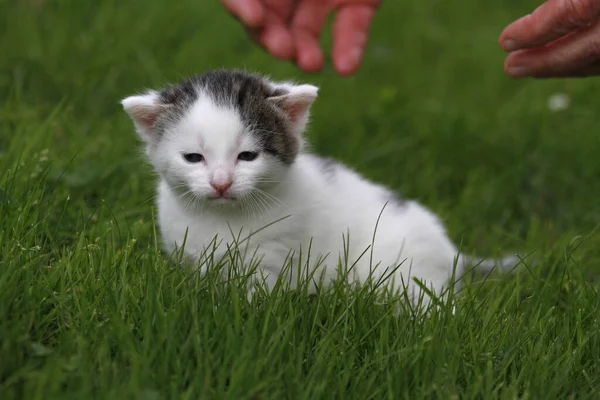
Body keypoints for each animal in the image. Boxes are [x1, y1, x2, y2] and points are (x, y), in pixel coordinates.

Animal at [122, 69, 520, 306]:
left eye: (247, 156)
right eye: (194, 158)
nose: (221, 183)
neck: (224, 218)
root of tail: (452, 254)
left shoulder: (274, 255)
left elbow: (255, 294)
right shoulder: (186, 250)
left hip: (406, 272)